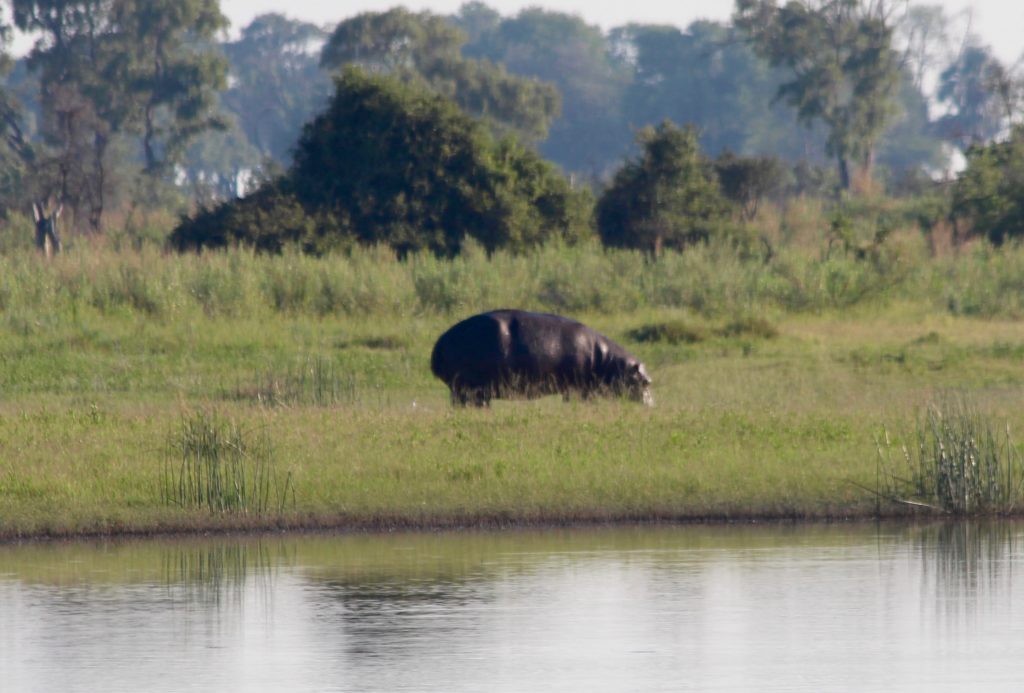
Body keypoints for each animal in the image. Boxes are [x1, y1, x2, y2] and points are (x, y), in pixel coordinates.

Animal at [428, 309, 651, 405]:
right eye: (646, 382)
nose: (651, 405)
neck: (607, 360)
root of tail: (440, 342)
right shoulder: (577, 388)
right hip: (470, 389)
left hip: (464, 390)